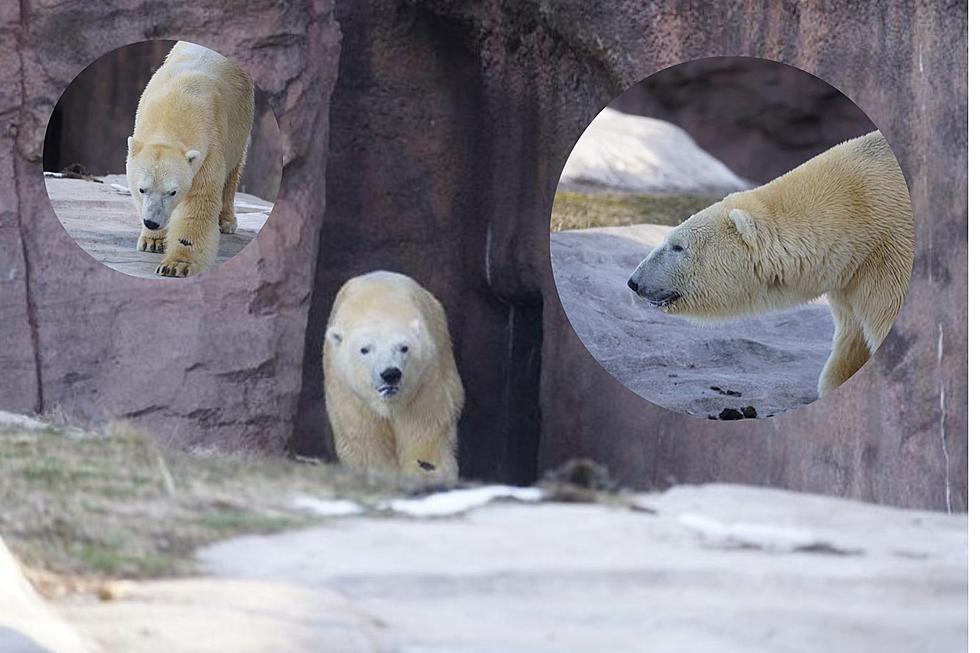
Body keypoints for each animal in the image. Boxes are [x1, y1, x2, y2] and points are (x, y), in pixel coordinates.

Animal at [124, 40, 255, 276]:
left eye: (172, 192)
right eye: (142, 189)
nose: (151, 223)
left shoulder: (210, 144)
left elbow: (199, 201)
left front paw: (176, 264)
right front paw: (153, 241)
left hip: (241, 121)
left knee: (233, 170)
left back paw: (227, 221)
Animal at [322, 272, 468, 484]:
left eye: (403, 347)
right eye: (364, 349)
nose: (390, 374)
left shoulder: (422, 384)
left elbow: (425, 435)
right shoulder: (350, 392)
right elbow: (364, 442)